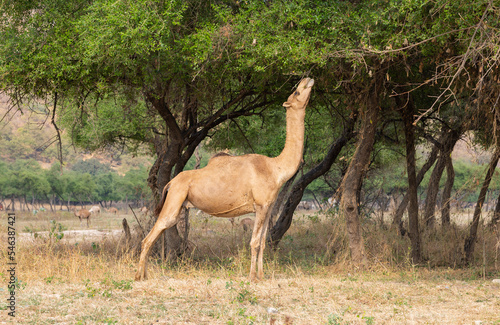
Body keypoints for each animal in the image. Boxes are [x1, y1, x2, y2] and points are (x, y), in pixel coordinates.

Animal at [135, 77, 314, 280]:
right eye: (296, 92)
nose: (307, 79)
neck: (276, 169)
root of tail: (170, 183)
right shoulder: (260, 205)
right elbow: (254, 242)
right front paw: (252, 276)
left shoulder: (268, 208)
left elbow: (263, 242)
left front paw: (261, 276)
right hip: (175, 198)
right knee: (149, 237)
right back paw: (139, 276)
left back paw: (145, 275)